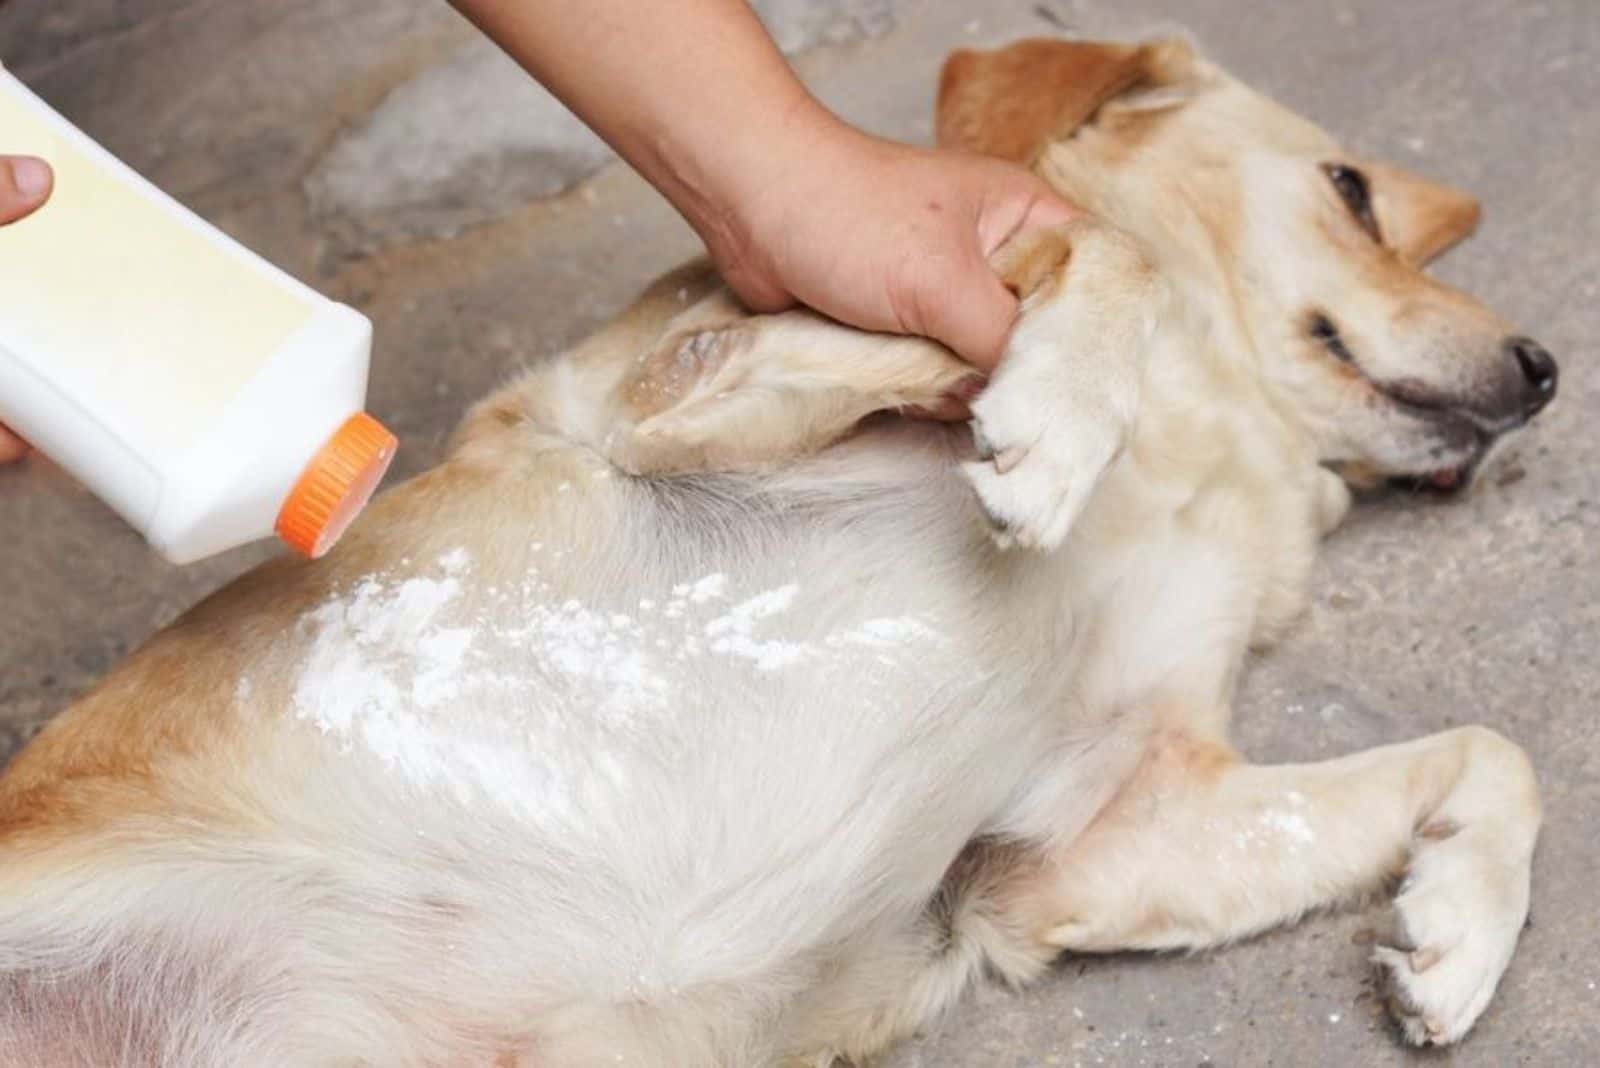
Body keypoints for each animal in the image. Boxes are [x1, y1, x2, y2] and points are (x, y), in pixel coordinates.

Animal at [0, 35, 1548, 1068]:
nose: (1542, 369)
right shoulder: (659, 396)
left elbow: (1495, 755)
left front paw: (1455, 935)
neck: (1207, 456)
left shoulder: (1100, 836)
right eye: (1349, 191)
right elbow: (1101, 261)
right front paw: (1050, 416)